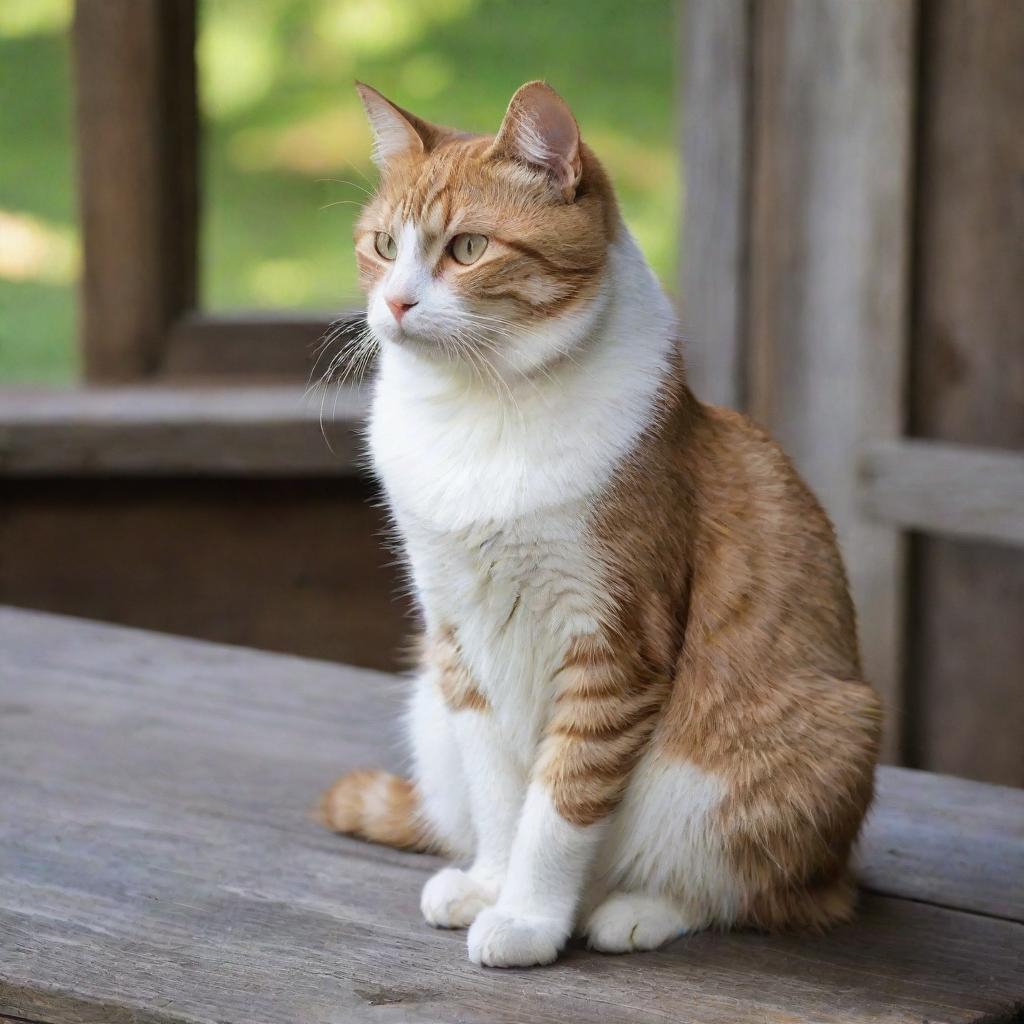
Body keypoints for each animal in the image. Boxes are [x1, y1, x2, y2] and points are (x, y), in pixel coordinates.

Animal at [323, 79, 884, 966]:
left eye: (468, 249)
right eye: (382, 245)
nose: (397, 303)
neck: (479, 411)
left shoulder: (615, 646)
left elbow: (560, 805)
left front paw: (526, 918)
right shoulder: (459, 638)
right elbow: (500, 796)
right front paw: (493, 884)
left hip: (813, 741)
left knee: (769, 893)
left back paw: (636, 910)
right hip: (428, 712)